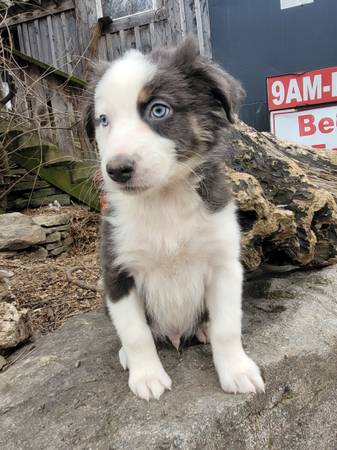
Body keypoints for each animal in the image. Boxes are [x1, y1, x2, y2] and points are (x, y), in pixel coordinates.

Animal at [85, 38, 264, 400]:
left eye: (158, 110)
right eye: (103, 120)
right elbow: (136, 333)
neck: (163, 200)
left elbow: (227, 327)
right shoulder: (116, 271)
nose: (117, 170)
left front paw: (236, 371)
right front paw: (146, 376)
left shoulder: (224, 265)